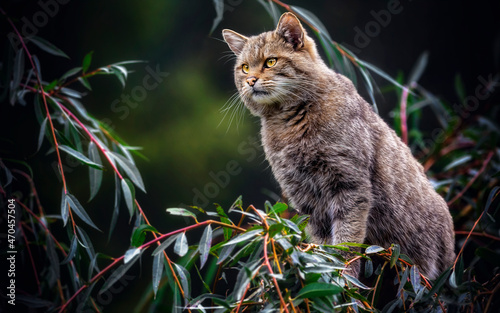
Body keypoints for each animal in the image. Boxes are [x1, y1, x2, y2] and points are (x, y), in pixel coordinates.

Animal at [221, 11, 456, 278]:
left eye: (270, 62)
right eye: (244, 67)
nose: (250, 80)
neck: (289, 122)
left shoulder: (349, 185)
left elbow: (347, 239)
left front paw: (343, 273)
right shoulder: (306, 198)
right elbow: (322, 241)